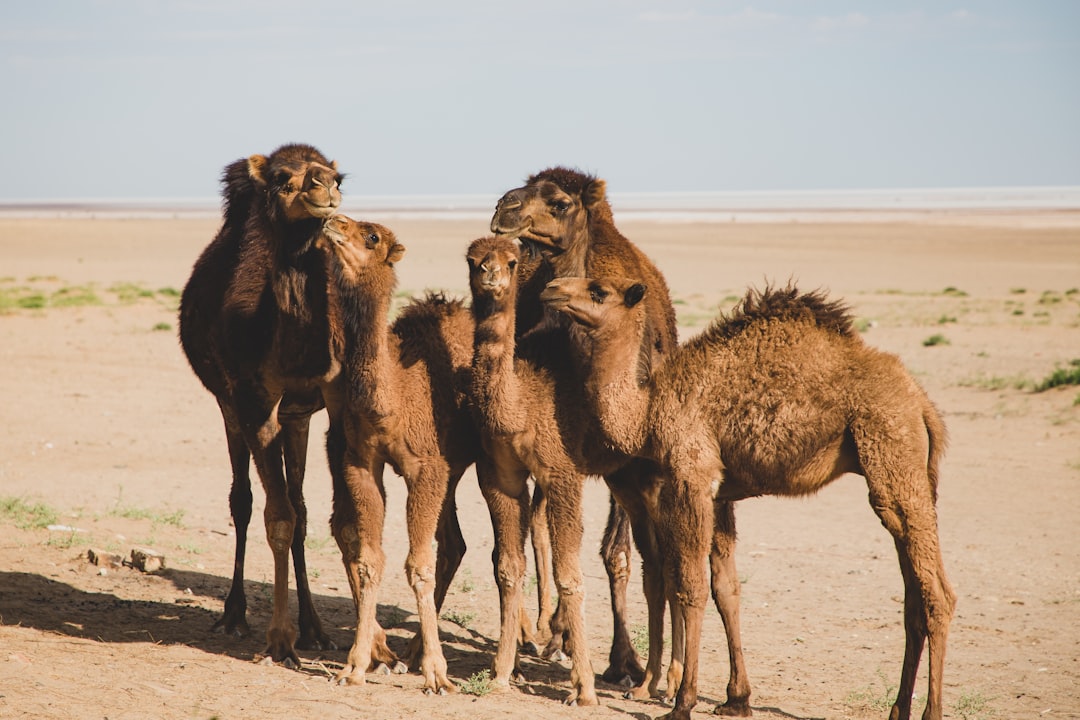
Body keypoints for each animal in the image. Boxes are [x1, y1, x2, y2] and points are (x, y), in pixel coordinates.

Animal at [319, 212, 481, 690]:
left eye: (372, 236)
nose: (333, 221)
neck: (392, 400)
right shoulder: (360, 462)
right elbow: (370, 559)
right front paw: (356, 666)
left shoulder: (425, 466)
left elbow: (419, 565)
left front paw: (438, 674)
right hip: (449, 471)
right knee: (454, 543)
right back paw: (408, 650)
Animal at [468, 235, 678, 703]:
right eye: (473, 259)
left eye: (511, 260)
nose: (491, 276)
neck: (519, 403)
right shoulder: (499, 475)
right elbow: (508, 568)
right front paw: (502, 673)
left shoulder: (562, 472)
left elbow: (570, 575)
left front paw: (582, 688)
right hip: (629, 483)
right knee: (656, 564)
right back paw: (646, 678)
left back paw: (655, 677)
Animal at [544, 278, 959, 720]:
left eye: (599, 291)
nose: (552, 288)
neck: (649, 410)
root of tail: (922, 405)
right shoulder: (718, 491)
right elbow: (723, 587)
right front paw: (733, 699)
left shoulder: (692, 475)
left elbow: (690, 588)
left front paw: (682, 702)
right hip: (905, 478)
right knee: (913, 597)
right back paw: (898, 708)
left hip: (891, 451)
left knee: (937, 595)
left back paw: (932, 711)